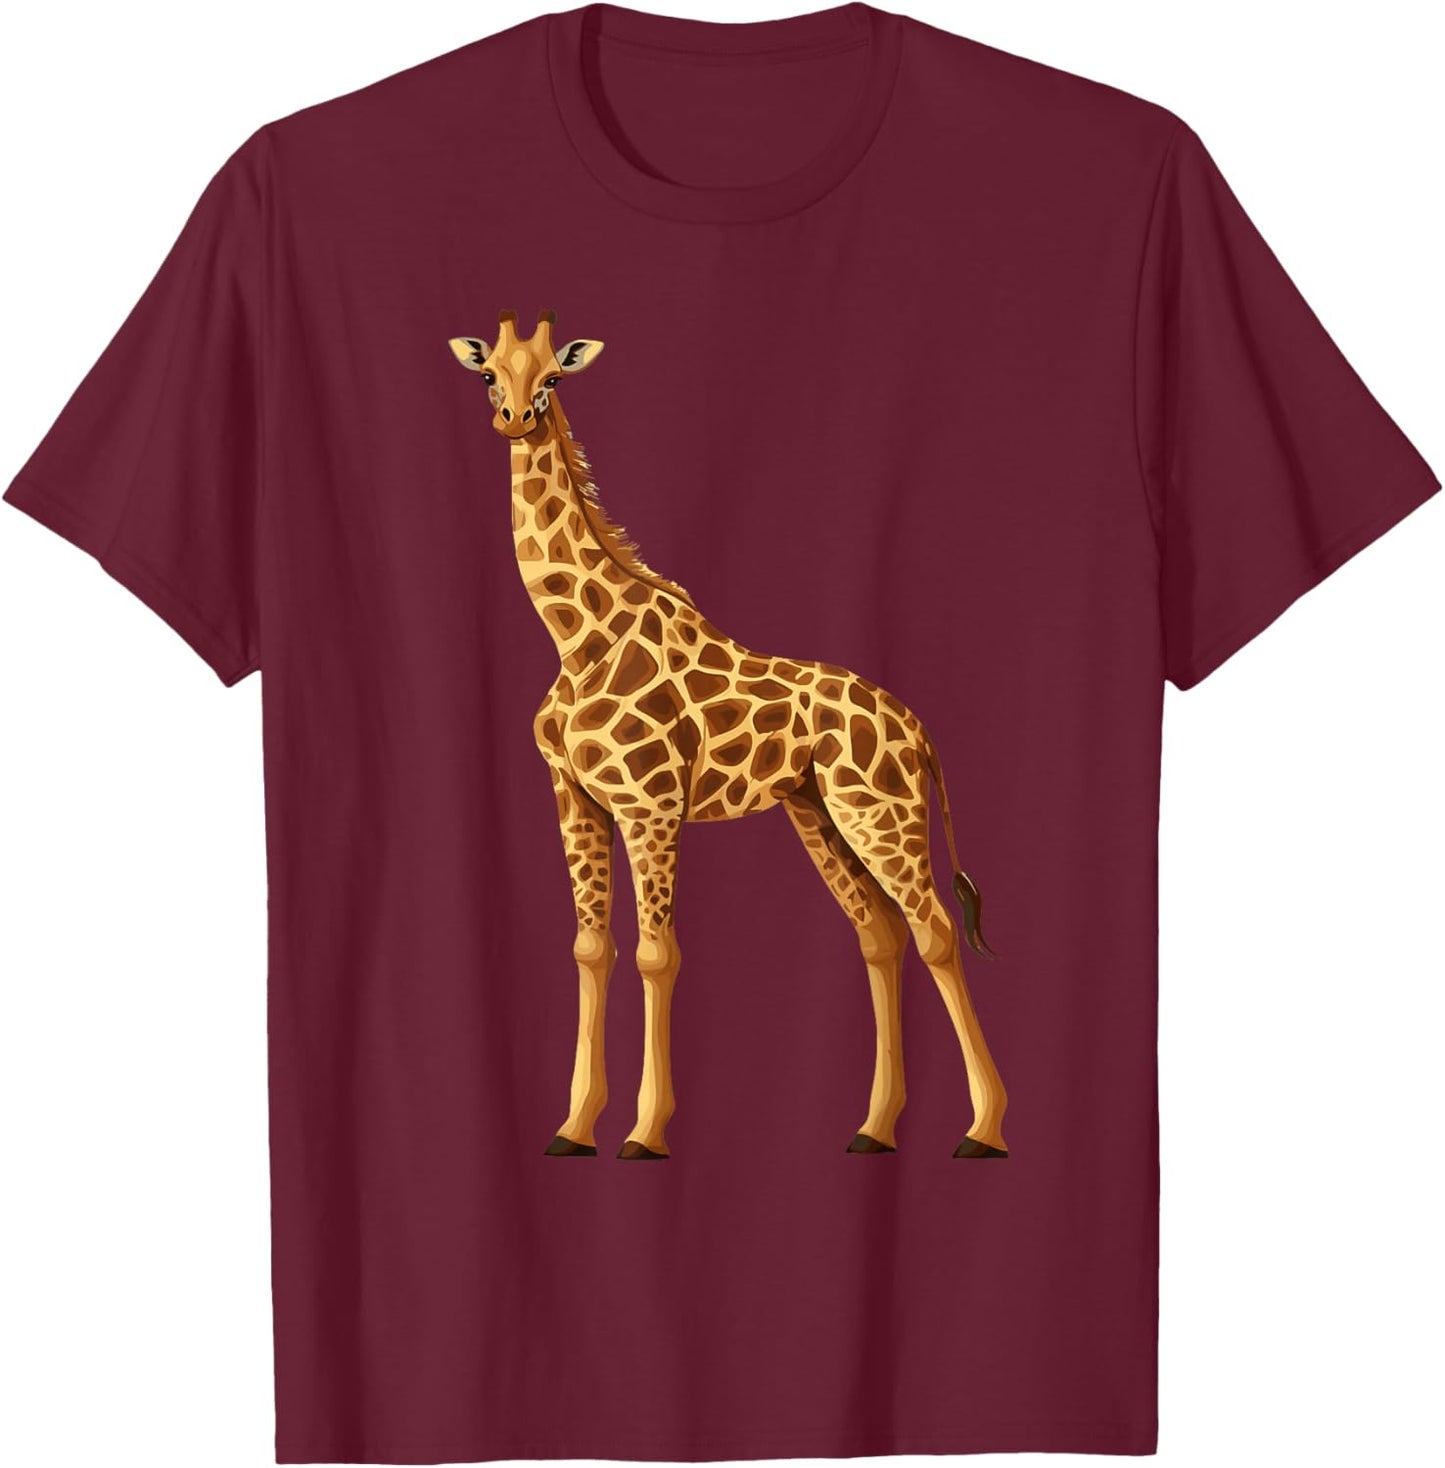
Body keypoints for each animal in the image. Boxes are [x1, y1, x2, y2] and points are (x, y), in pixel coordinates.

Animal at [448, 312, 1009, 1161]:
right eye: (488, 375)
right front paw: (573, 1128)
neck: (578, 639)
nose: (513, 418)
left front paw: (645, 1131)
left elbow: (656, 954)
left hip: (880, 813)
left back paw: (983, 1128)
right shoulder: (574, 798)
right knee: (879, 934)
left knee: (935, 930)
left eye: (552, 377)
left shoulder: (649, 805)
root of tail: (917, 731)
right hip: (817, 814)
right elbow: (590, 948)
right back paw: (873, 1129)